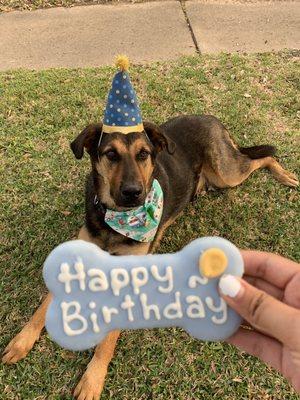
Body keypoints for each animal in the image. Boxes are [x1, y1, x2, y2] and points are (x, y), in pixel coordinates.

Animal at [2, 114, 298, 398]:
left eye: (143, 154)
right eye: (110, 154)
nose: (133, 193)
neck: (116, 220)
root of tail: (211, 118)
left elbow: (107, 340)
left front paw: (93, 379)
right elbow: (42, 309)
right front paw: (21, 341)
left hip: (227, 173)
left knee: (262, 158)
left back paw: (286, 176)